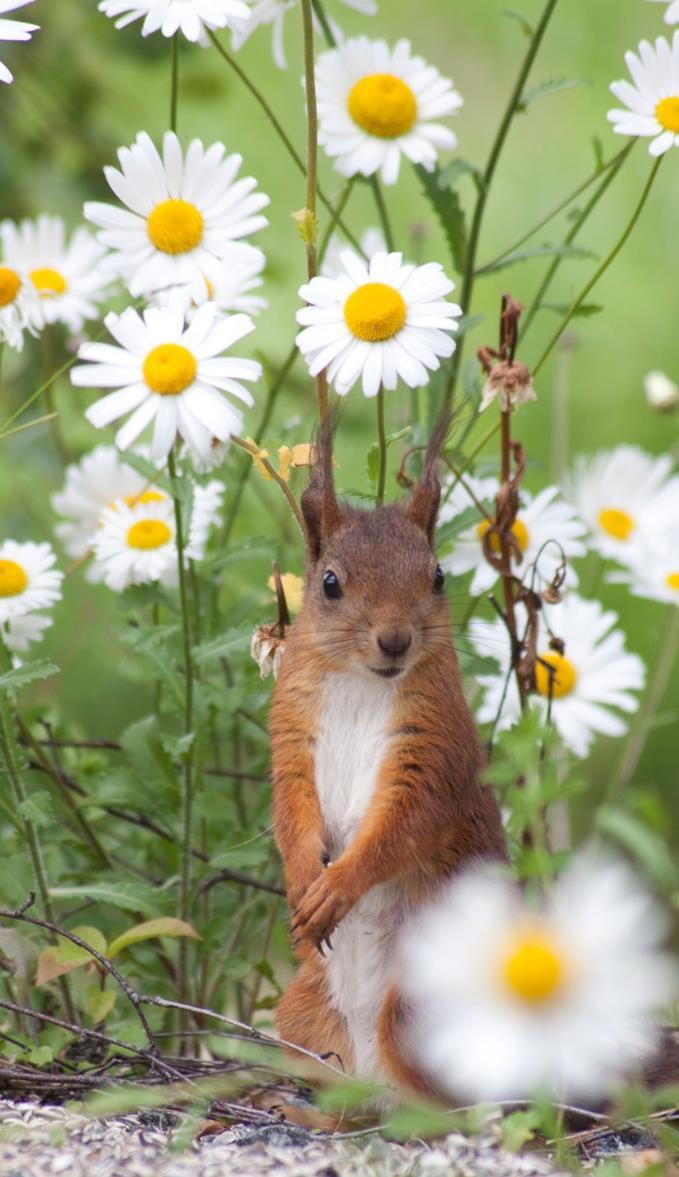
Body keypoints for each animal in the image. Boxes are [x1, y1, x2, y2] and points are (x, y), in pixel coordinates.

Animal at [267, 416, 506, 1092]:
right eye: (329, 583)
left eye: (438, 576)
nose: (395, 639)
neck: (361, 682)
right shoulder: (291, 734)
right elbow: (290, 810)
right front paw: (305, 880)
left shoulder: (436, 746)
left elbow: (405, 826)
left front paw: (337, 887)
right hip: (302, 1016)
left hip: (422, 1012)